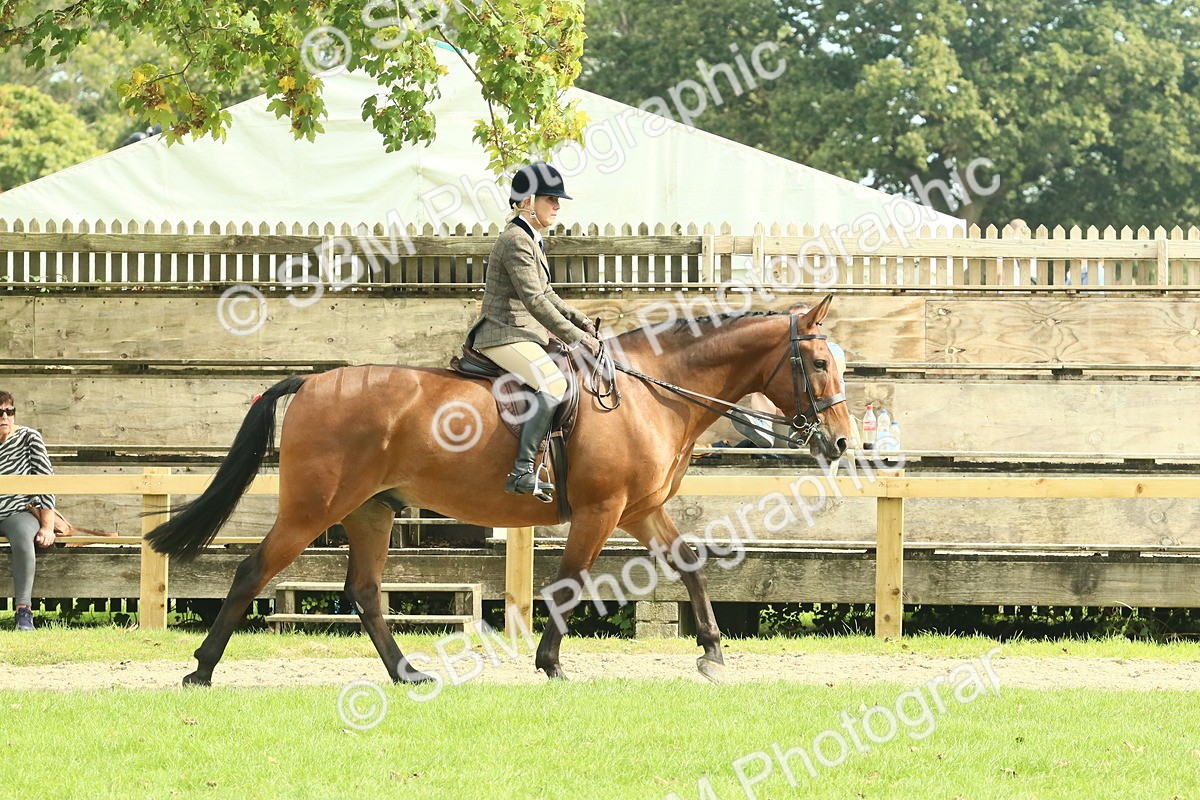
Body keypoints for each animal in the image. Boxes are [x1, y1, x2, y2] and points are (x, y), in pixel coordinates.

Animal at [145, 294, 853, 686]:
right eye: (819, 363)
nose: (842, 443)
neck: (650, 391)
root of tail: (314, 381)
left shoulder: (641, 509)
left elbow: (689, 564)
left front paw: (711, 652)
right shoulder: (601, 511)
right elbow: (568, 582)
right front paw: (550, 662)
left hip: (371, 513)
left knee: (366, 593)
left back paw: (406, 673)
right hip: (311, 509)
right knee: (252, 572)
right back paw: (200, 669)